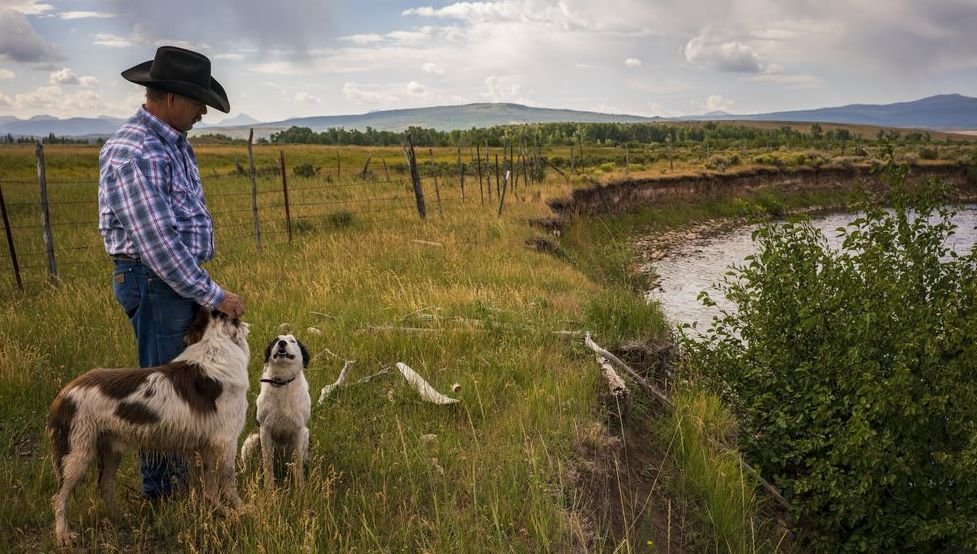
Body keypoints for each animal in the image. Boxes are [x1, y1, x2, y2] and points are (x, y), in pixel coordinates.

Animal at [47, 308, 252, 544]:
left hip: (110, 450)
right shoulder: (226, 441)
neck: (214, 344)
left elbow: (211, 487)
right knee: (59, 496)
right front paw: (241, 510)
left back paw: (122, 519)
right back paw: (63, 534)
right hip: (76, 455)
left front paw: (221, 511)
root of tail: (63, 394)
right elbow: (228, 480)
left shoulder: (207, 445)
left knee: (104, 486)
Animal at [239, 332, 308, 484]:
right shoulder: (265, 429)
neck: (282, 382)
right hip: (252, 439)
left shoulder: (299, 430)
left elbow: (298, 464)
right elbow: (267, 464)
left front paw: (300, 486)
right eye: (276, 341)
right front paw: (269, 486)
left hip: (306, 434)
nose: (282, 343)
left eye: (292, 341)